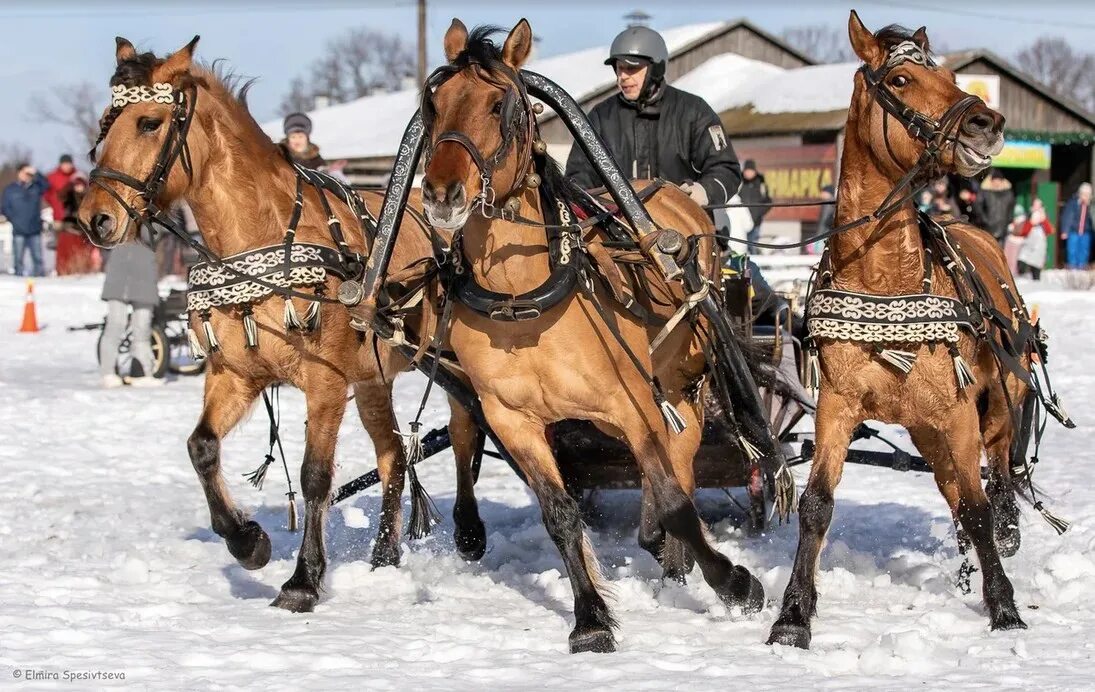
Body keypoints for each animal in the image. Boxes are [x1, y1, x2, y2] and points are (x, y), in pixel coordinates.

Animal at [77, 36, 479, 608]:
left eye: (149, 123)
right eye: (105, 123)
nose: (94, 218)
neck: (261, 237)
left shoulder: (326, 381)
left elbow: (315, 476)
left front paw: (303, 579)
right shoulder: (235, 374)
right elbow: (201, 447)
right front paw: (247, 541)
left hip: (456, 363)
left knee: (466, 431)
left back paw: (469, 532)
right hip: (373, 379)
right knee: (393, 456)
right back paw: (384, 555)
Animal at [770, 12, 1068, 648]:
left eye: (955, 78)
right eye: (901, 79)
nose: (987, 123)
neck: (884, 277)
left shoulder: (957, 412)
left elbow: (980, 508)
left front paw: (1005, 607)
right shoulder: (837, 405)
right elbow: (817, 503)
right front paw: (793, 614)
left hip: (993, 411)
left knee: (994, 486)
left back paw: (1000, 547)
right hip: (928, 432)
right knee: (956, 494)